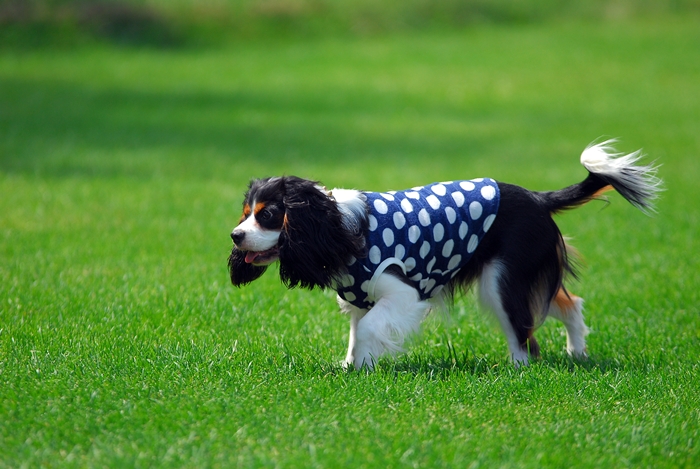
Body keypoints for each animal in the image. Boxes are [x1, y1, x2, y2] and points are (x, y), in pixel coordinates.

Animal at [228, 140, 660, 370]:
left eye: (268, 215)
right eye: (244, 213)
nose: (235, 235)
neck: (338, 228)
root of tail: (538, 198)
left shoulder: (403, 292)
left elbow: (368, 329)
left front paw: (363, 367)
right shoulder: (360, 300)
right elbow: (355, 333)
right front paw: (353, 366)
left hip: (500, 281)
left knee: (523, 332)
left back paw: (517, 368)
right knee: (568, 302)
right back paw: (577, 352)